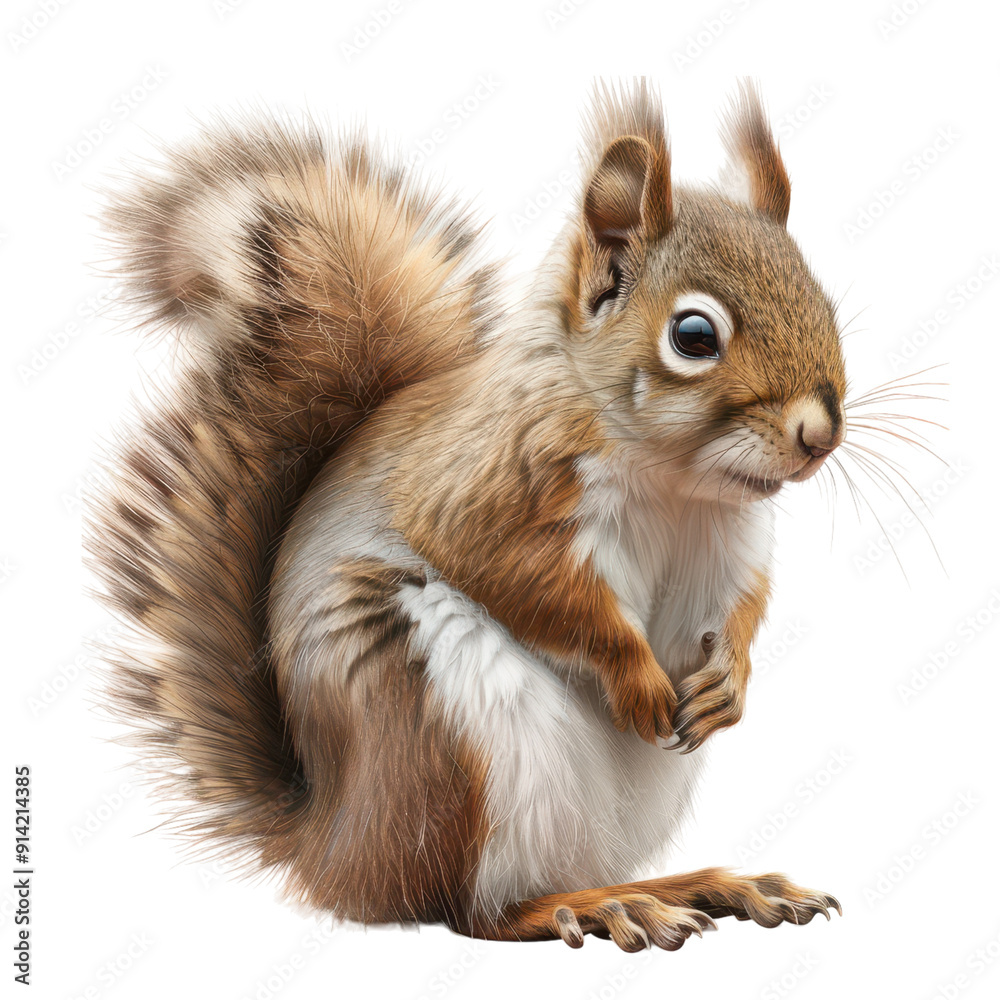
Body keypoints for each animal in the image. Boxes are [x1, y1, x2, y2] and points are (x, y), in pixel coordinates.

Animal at [88, 79, 845, 952]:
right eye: (694, 335)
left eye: (824, 299)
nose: (820, 435)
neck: (678, 485)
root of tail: (335, 845)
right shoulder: (483, 497)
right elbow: (543, 592)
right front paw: (636, 678)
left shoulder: (730, 545)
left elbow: (738, 610)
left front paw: (730, 681)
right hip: (458, 739)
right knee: (468, 908)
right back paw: (593, 907)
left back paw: (696, 886)